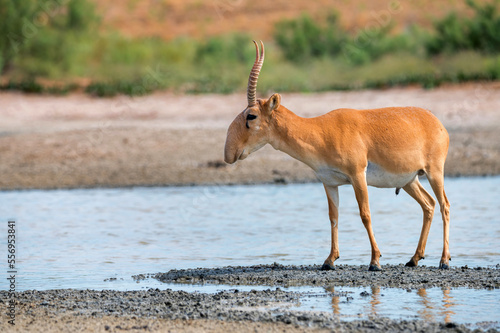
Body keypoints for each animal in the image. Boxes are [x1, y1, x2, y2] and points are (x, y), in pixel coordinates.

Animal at [225, 40, 452, 270]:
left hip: (434, 172)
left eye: (251, 116)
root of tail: (437, 123)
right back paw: (414, 259)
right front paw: (329, 260)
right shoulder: (330, 183)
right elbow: (333, 217)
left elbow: (365, 214)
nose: (229, 154)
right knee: (429, 205)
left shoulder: (357, 176)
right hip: (409, 181)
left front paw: (375, 261)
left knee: (444, 205)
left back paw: (444, 260)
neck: (320, 131)